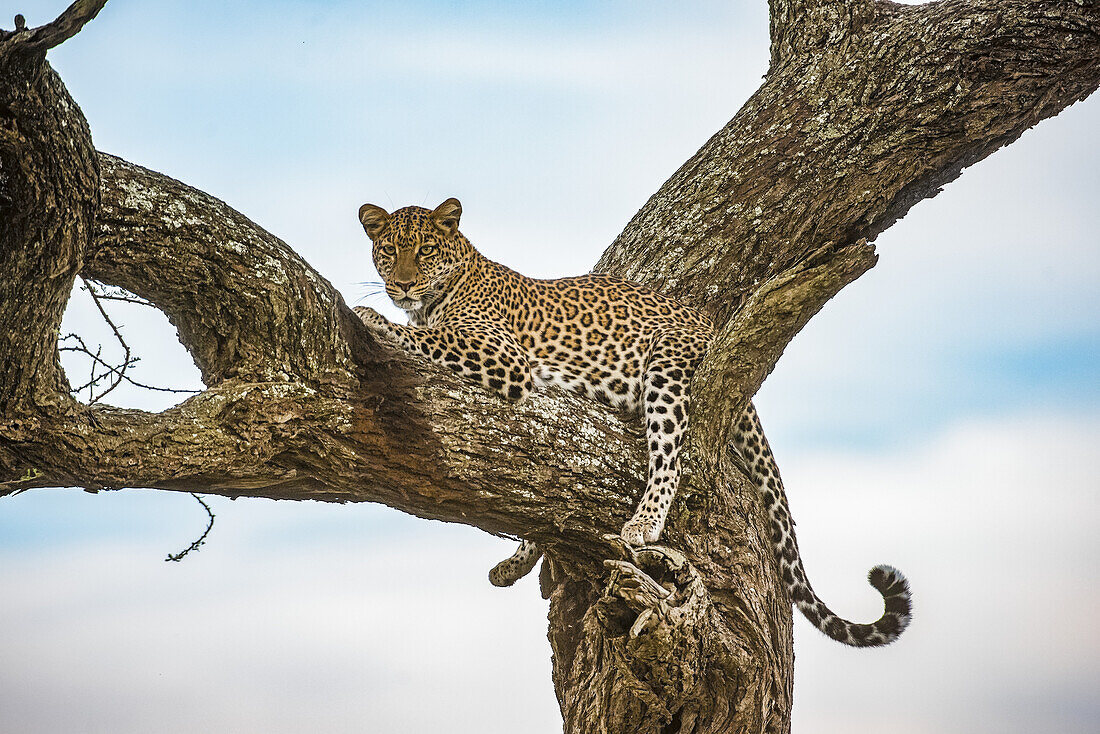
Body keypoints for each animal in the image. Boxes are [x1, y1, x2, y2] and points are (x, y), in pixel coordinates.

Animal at [352, 196, 910, 647]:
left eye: (425, 250)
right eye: (390, 250)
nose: (402, 284)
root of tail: (708, 326)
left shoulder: (502, 356)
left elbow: (427, 337)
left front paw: (369, 315)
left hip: (666, 364)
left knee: (672, 459)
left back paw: (642, 524)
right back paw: (516, 560)